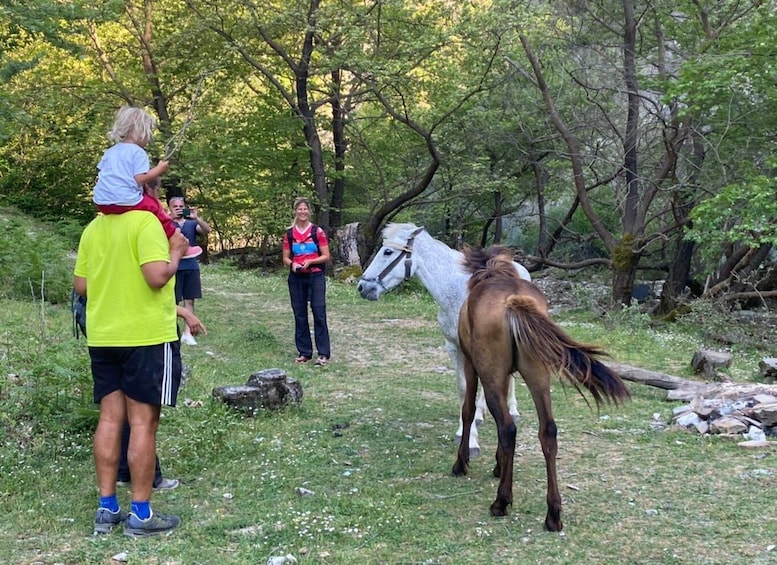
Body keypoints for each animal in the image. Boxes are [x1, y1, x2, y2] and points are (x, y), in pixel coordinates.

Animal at [356, 223, 528, 456]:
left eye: (388, 252)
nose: (362, 287)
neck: (457, 292)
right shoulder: (453, 347)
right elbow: (464, 389)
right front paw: (464, 432)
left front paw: (471, 442)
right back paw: (481, 415)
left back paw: (513, 409)